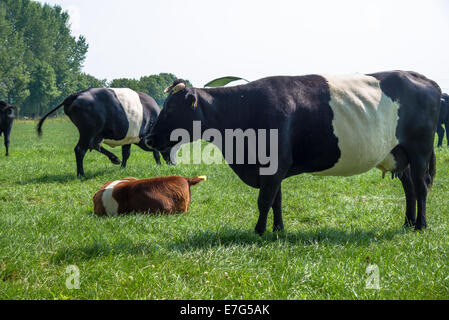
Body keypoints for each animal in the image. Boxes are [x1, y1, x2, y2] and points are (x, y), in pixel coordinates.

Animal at [36, 89, 172, 176]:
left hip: (95, 134)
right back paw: (81, 174)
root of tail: (76, 94)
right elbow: (155, 152)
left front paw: (123, 167)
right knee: (80, 149)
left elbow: (126, 153)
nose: (172, 163)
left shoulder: (129, 138)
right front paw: (159, 165)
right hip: (88, 132)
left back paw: (114, 159)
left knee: (94, 145)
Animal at [145, 70, 440, 235]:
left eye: (171, 108)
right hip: (400, 154)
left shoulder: (275, 163)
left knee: (421, 186)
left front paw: (258, 231)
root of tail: (423, 79)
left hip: (420, 150)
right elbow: (276, 200)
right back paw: (408, 223)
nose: (148, 137)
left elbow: (265, 200)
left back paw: (420, 226)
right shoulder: (273, 168)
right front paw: (278, 230)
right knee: (410, 188)